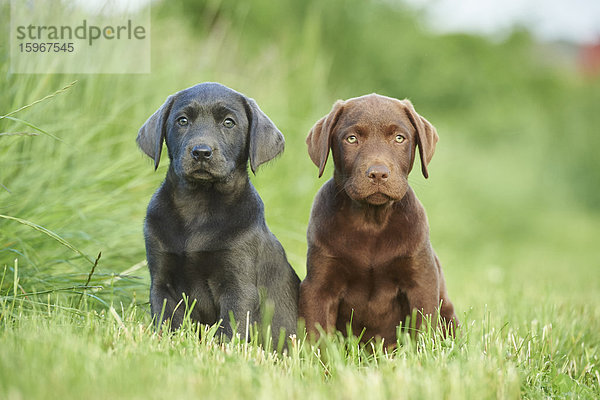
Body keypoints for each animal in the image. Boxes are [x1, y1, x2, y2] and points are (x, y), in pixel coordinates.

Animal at [139, 81, 302, 344]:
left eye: (228, 122)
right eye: (182, 120)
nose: (201, 152)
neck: (199, 205)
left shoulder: (238, 286)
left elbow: (230, 331)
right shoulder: (162, 283)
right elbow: (167, 323)